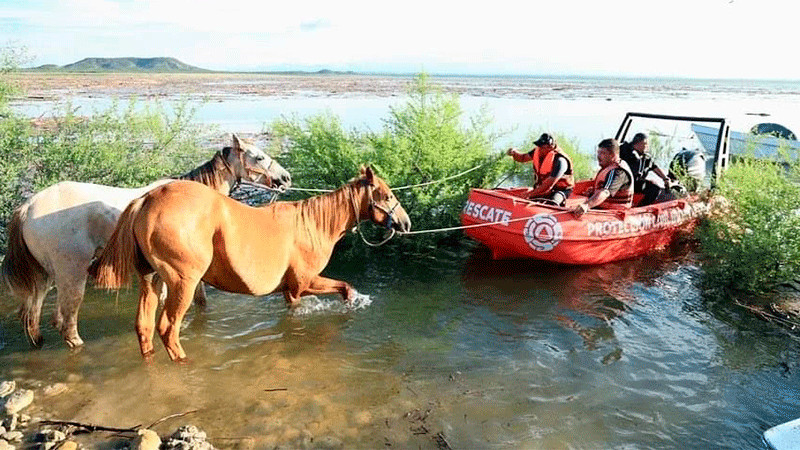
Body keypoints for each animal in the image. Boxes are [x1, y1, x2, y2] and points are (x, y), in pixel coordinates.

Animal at [1, 134, 291, 349]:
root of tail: (27, 208)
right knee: (67, 321)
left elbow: (196, 301)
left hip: (46, 276)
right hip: (72, 273)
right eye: (258, 157)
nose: (286, 178)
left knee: (34, 316)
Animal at [89, 166, 410, 362]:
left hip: (151, 280)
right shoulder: (305, 282)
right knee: (168, 328)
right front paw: (351, 305)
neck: (313, 224)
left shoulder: (291, 291)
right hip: (183, 283)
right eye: (387, 195)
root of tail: (147, 199)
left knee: (143, 326)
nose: (406, 223)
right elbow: (346, 287)